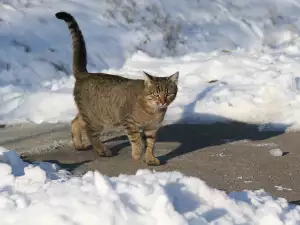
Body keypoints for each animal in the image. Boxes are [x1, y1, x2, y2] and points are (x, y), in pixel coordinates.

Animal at [55, 11, 179, 165]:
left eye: (168, 94)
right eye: (156, 94)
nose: (163, 101)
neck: (153, 111)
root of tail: (85, 74)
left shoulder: (152, 128)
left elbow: (151, 144)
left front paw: (150, 158)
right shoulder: (129, 122)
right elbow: (137, 140)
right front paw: (137, 154)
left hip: (89, 114)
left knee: (75, 122)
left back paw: (78, 145)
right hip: (96, 119)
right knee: (91, 133)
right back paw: (102, 151)